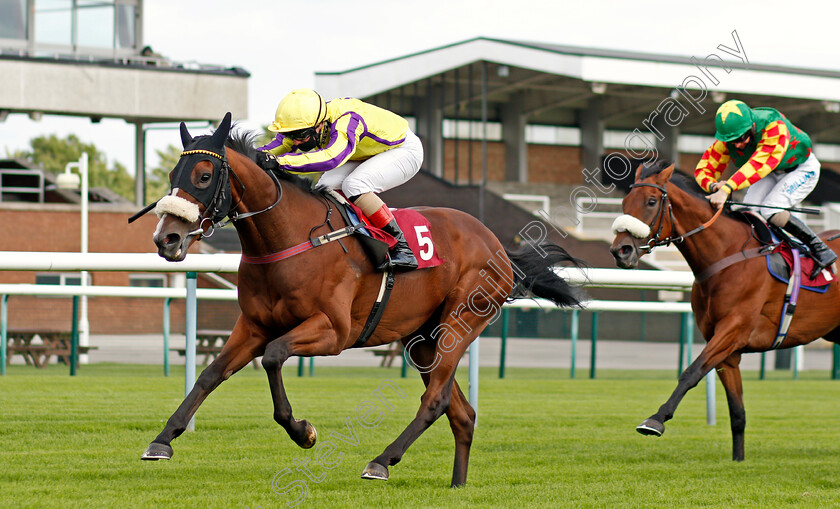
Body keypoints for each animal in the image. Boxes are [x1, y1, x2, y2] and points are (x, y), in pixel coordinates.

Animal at [138, 113, 584, 486]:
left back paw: (381, 461)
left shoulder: (333, 332)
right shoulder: (253, 325)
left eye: (203, 175)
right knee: (461, 412)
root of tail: (498, 246)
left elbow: (274, 356)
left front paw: (303, 431)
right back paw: (457, 484)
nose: (167, 238)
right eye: (173, 174)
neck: (290, 238)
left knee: (435, 400)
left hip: (460, 323)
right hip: (424, 340)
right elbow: (211, 374)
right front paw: (162, 440)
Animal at [612, 162, 840, 460]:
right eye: (625, 202)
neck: (725, 255)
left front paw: (655, 420)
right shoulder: (727, 350)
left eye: (651, 201)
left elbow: (691, 372)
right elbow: (737, 412)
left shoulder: (733, 330)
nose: (621, 251)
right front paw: (738, 459)